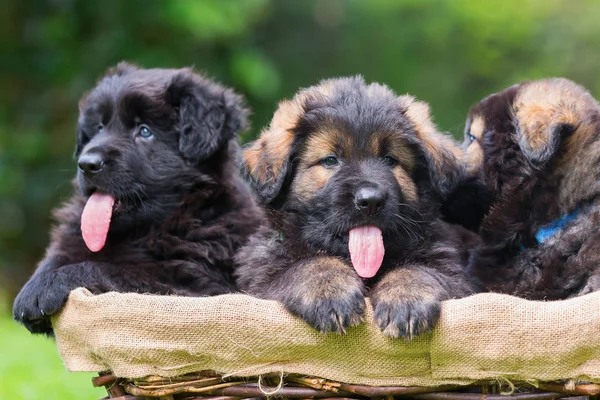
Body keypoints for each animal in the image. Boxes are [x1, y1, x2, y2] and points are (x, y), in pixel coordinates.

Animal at [11, 61, 264, 334]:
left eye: (144, 131)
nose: (87, 164)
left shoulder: (198, 285)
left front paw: (44, 287)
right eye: (99, 127)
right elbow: (59, 255)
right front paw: (33, 285)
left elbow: (114, 270)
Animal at [234, 76, 474, 340]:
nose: (370, 200)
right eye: (330, 160)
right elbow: (307, 265)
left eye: (390, 159)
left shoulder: (451, 269)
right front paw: (330, 292)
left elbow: (418, 269)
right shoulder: (262, 273)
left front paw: (406, 299)